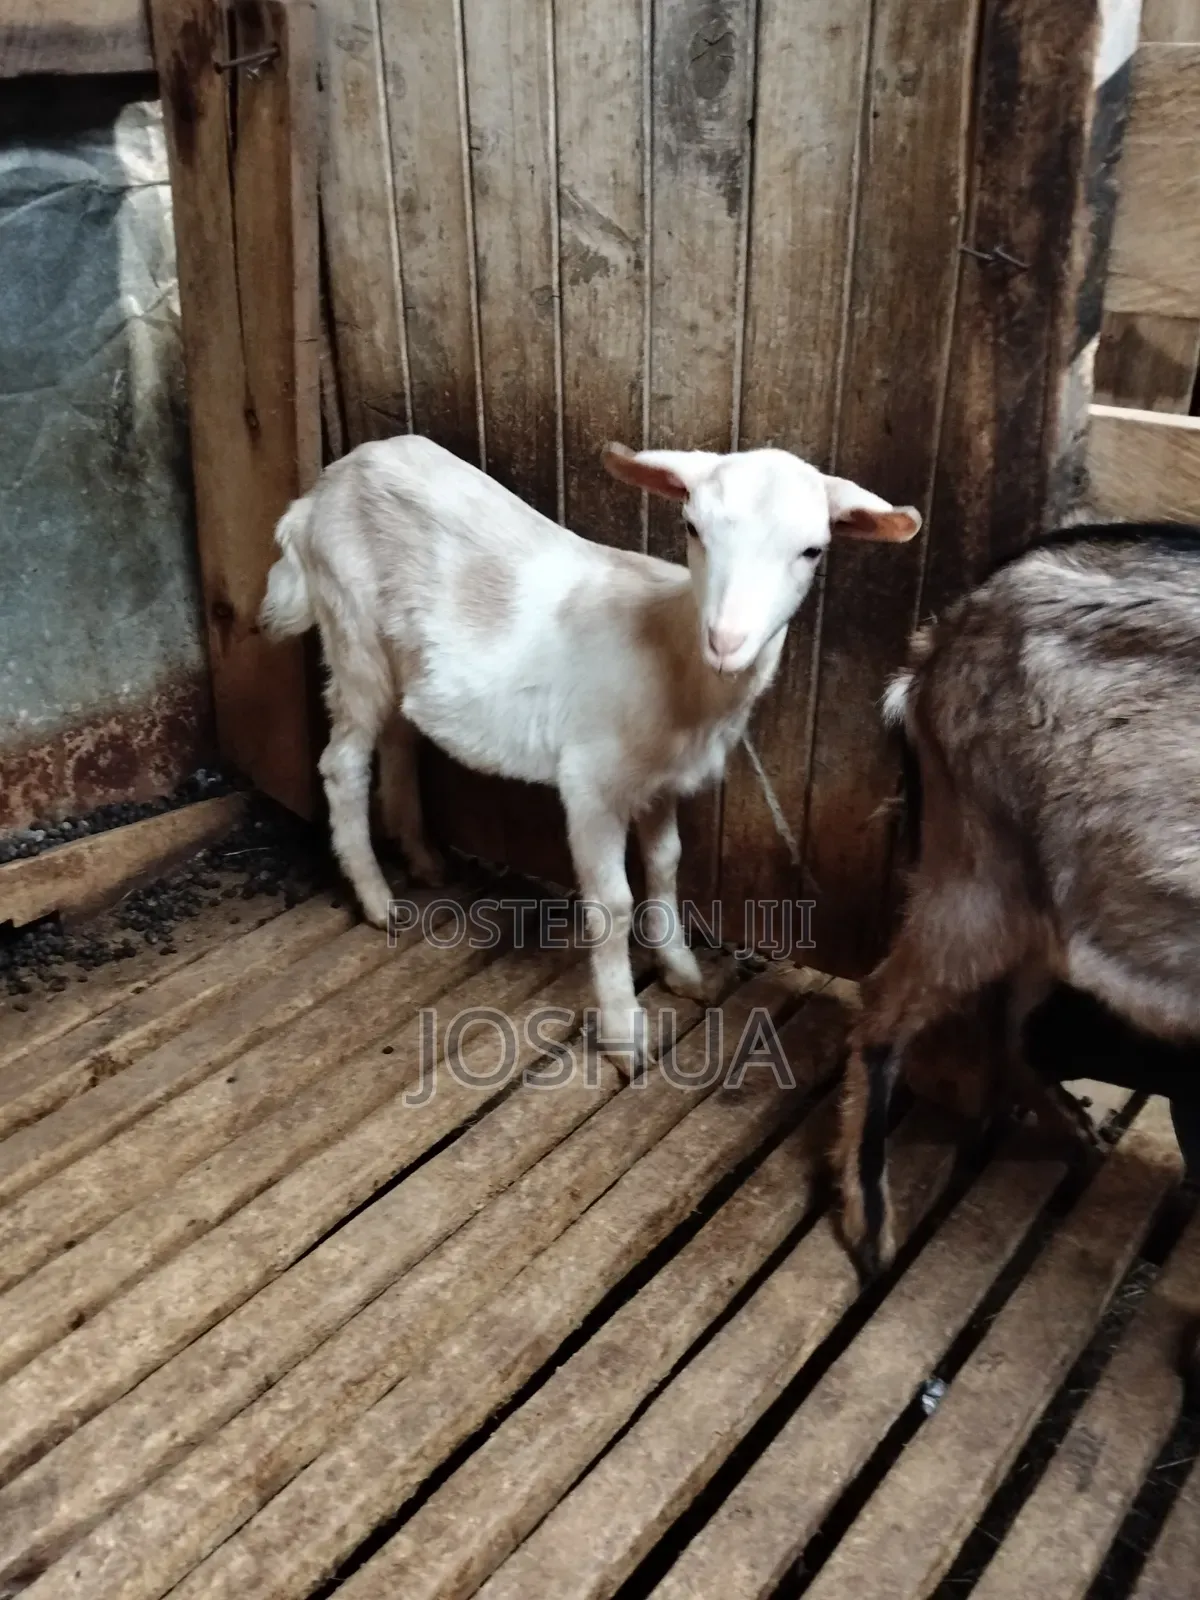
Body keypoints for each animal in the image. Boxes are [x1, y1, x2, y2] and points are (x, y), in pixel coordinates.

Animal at [259, 433, 920, 1065]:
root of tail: (319, 492)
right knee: (342, 764)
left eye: (813, 550)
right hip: (350, 626)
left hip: (401, 656)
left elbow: (667, 867)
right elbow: (613, 902)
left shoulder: (659, 780)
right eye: (692, 528)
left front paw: (683, 971)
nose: (727, 640)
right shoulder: (592, 781)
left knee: (399, 736)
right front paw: (626, 1034)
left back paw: (422, 857)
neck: (674, 657)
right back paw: (378, 899)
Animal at [835, 524, 1200, 1276]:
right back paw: (870, 1220)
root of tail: (939, 636)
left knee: (1005, 1016)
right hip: (979, 873)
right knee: (889, 1003)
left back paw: (1071, 1124)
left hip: (1044, 898)